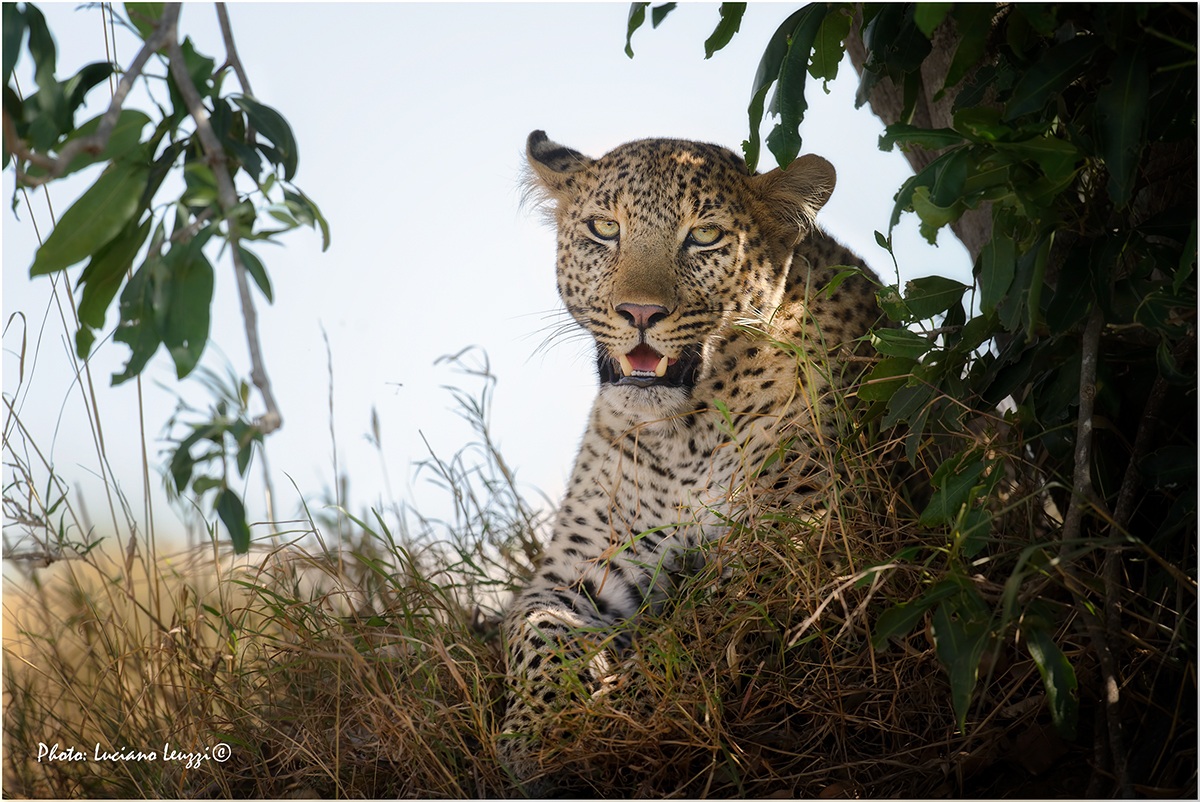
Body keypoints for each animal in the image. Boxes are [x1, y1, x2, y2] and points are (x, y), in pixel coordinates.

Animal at [499, 130, 884, 790]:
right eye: (604, 228)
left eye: (704, 235)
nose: (639, 314)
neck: (682, 436)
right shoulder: (577, 571)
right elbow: (536, 634)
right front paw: (529, 737)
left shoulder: (791, 545)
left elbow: (686, 643)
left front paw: (604, 729)